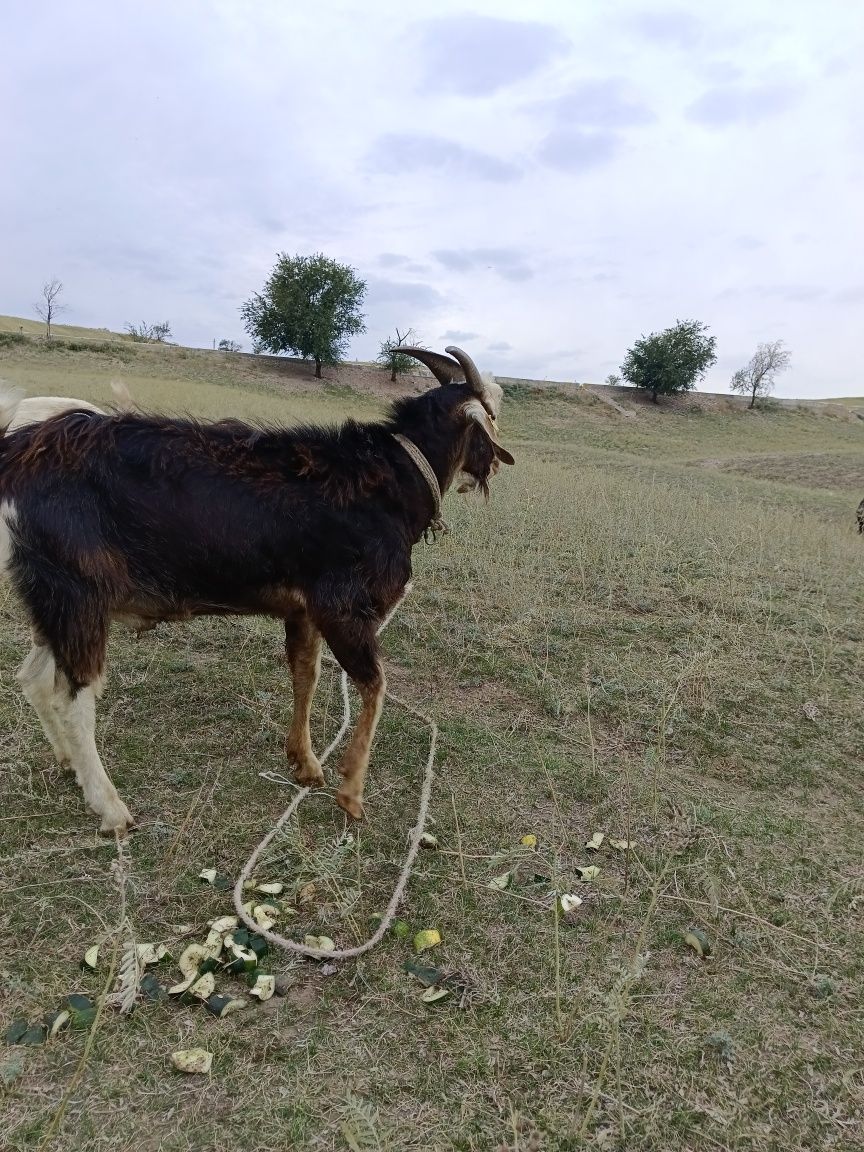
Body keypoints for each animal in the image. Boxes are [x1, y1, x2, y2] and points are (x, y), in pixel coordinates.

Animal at [0, 340, 513, 829]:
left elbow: (306, 674)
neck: (392, 479)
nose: (496, 464)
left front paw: (305, 763)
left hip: (51, 598)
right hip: (76, 592)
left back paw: (68, 763)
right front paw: (351, 794)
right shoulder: (343, 609)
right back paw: (110, 807)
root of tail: (18, 454)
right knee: (73, 696)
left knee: (35, 678)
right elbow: (374, 684)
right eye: (490, 416)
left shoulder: (303, 610)